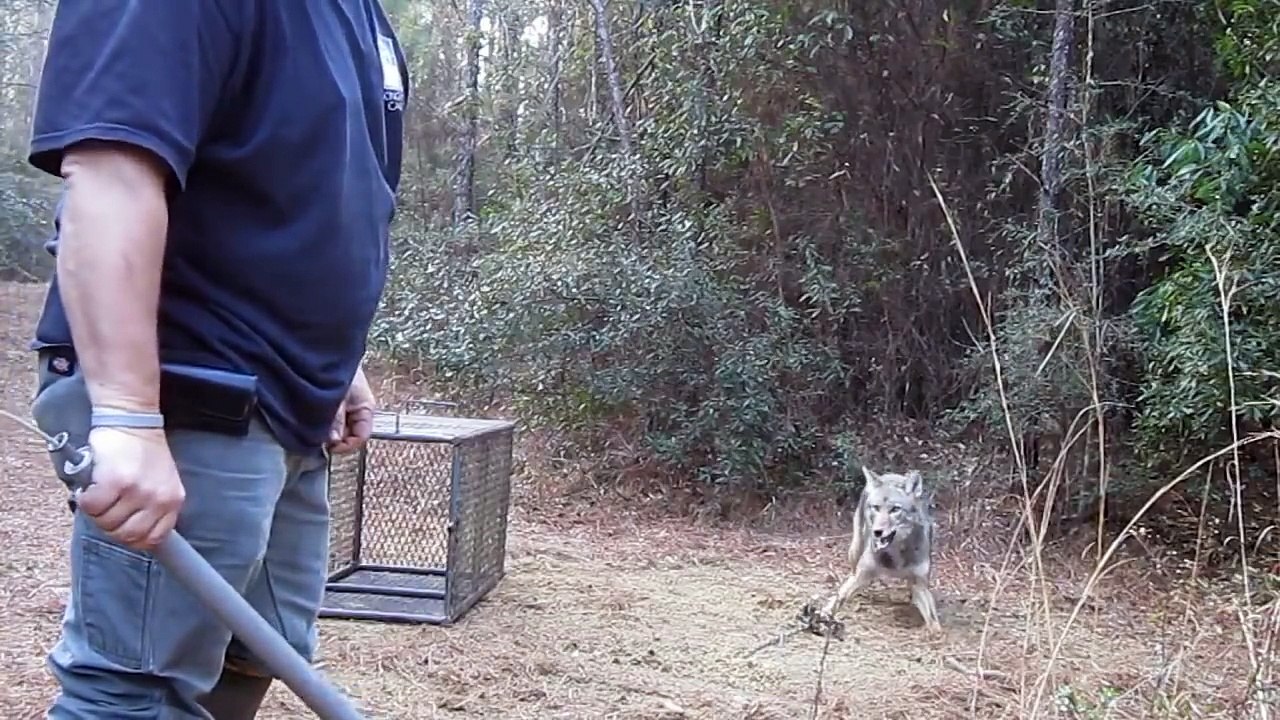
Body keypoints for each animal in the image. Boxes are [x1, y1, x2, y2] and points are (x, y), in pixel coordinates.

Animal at [819, 465, 942, 634]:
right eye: (876, 508)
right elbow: (839, 598)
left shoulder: (920, 586)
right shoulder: (861, 575)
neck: (896, 556)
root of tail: (890, 474)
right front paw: (824, 614)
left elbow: (934, 622)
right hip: (855, 551)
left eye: (895, 509)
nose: (877, 532)